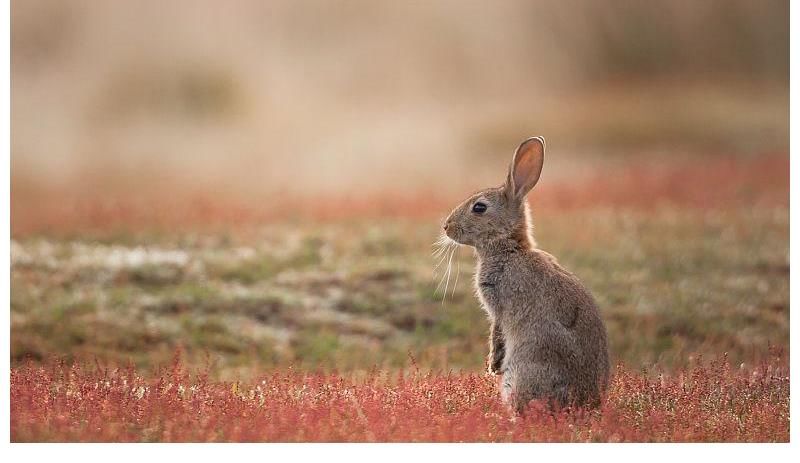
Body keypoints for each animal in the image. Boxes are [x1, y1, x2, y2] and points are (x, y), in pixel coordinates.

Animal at [440, 138, 608, 414]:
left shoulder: (499, 307)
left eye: (479, 207)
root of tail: (582, 404)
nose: (447, 226)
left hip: (522, 374)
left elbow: (497, 333)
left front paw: (492, 365)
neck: (509, 248)